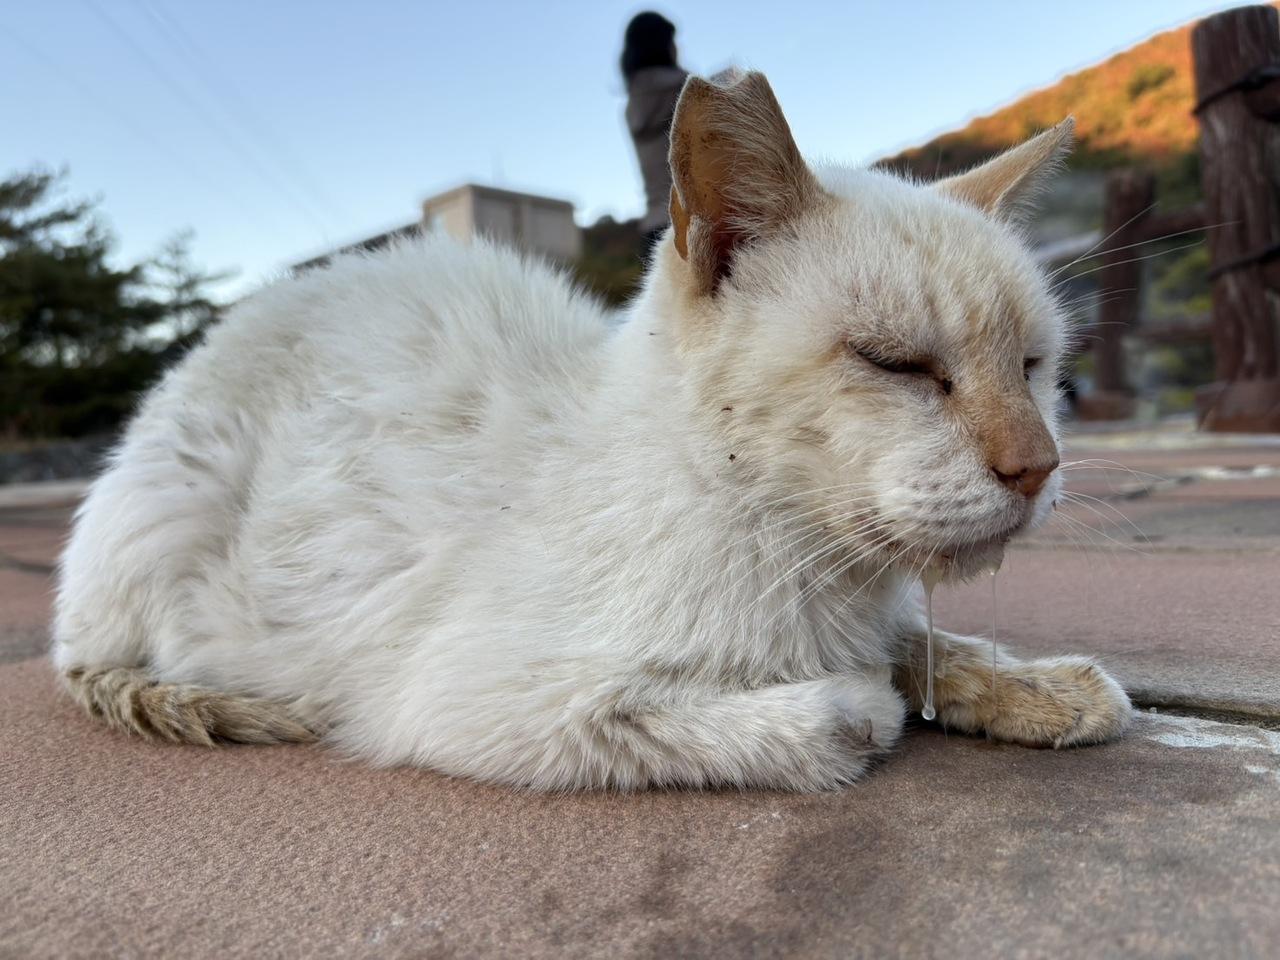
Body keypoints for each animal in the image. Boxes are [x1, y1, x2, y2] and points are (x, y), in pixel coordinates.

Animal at [53, 72, 1131, 791]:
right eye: (896, 364)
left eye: (1031, 366)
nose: (1037, 467)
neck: (797, 555)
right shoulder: (471, 700)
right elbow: (832, 707)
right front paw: (857, 700)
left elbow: (932, 644)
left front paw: (1042, 688)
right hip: (178, 513)